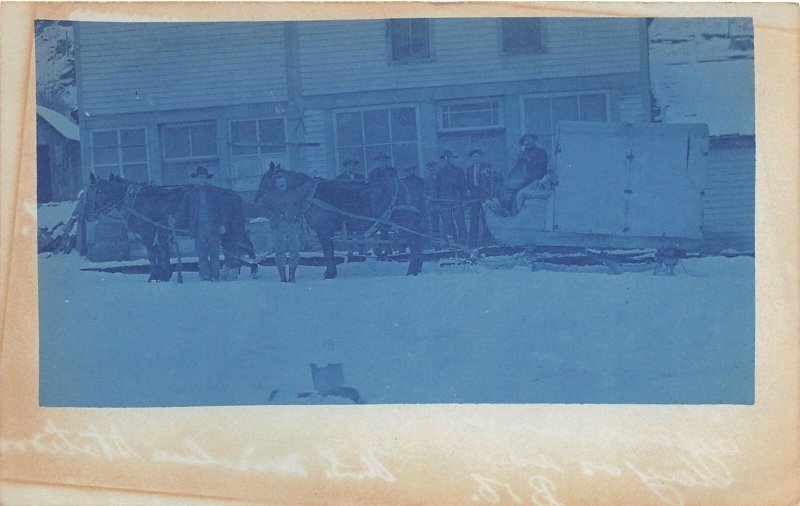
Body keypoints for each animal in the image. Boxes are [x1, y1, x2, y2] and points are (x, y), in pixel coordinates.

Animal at [85, 174, 255, 282]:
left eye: (91, 193)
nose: (87, 215)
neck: (137, 201)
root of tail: (234, 194)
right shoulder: (162, 233)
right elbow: (162, 254)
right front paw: (165, 275)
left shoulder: (148, 234)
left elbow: (154, 256)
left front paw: (155, 277)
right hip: (228, 230)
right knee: (233, 248)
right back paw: (233, 272)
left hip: (231, 228)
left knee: (243, 246)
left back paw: (249, 270)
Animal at [258, 164, 432, 278]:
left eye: (264, 180)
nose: (256, 201)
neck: (311, 193)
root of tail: (411, 184)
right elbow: (329, 251)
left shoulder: (324, 230)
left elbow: (328, 252)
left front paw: (329, 273)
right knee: (420, 244)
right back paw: (417, 269)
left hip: (406, 224)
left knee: (415, 245)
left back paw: (411, 271)